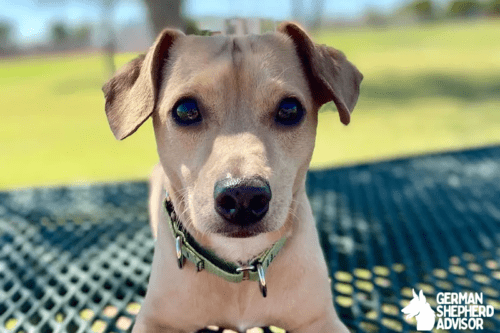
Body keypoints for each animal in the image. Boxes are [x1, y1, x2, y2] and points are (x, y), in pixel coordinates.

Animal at [103, 22, 364, 330]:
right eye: (185, 109)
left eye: (289, 109)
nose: (243, 196)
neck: (240, 262)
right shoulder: (155, 321)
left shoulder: (321, 320)